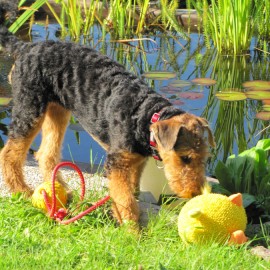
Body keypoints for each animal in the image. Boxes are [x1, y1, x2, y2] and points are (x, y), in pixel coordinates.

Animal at [0, 3, 215, 225]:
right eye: (185, 158)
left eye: (204, 157)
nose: (195, 193)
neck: (145, 117)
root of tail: (25, 47)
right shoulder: (117, 165)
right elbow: (124, 199)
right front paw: (131, 229)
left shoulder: (135, 162)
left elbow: (131, 192)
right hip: (30, 110)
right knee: (9, 154)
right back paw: (22, 191)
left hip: (57, 112)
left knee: (46, 154)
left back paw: (62, 192)